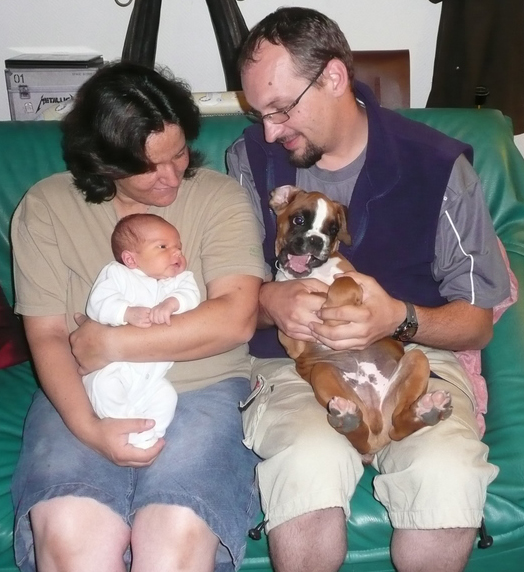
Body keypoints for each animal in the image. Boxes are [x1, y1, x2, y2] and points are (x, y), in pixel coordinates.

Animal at [269, 185, 452, 458]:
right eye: (298, 220)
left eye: (332, 229)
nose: (316, 240)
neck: (314, 274)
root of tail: (378, 426)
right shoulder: (292, 339)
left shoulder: (357, 282)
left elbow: (343, 282)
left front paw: (330, 309)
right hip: (323, 372)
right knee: (363, 435)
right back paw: (350, 419)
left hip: (417, 360)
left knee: (399, 426)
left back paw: (427, 411)